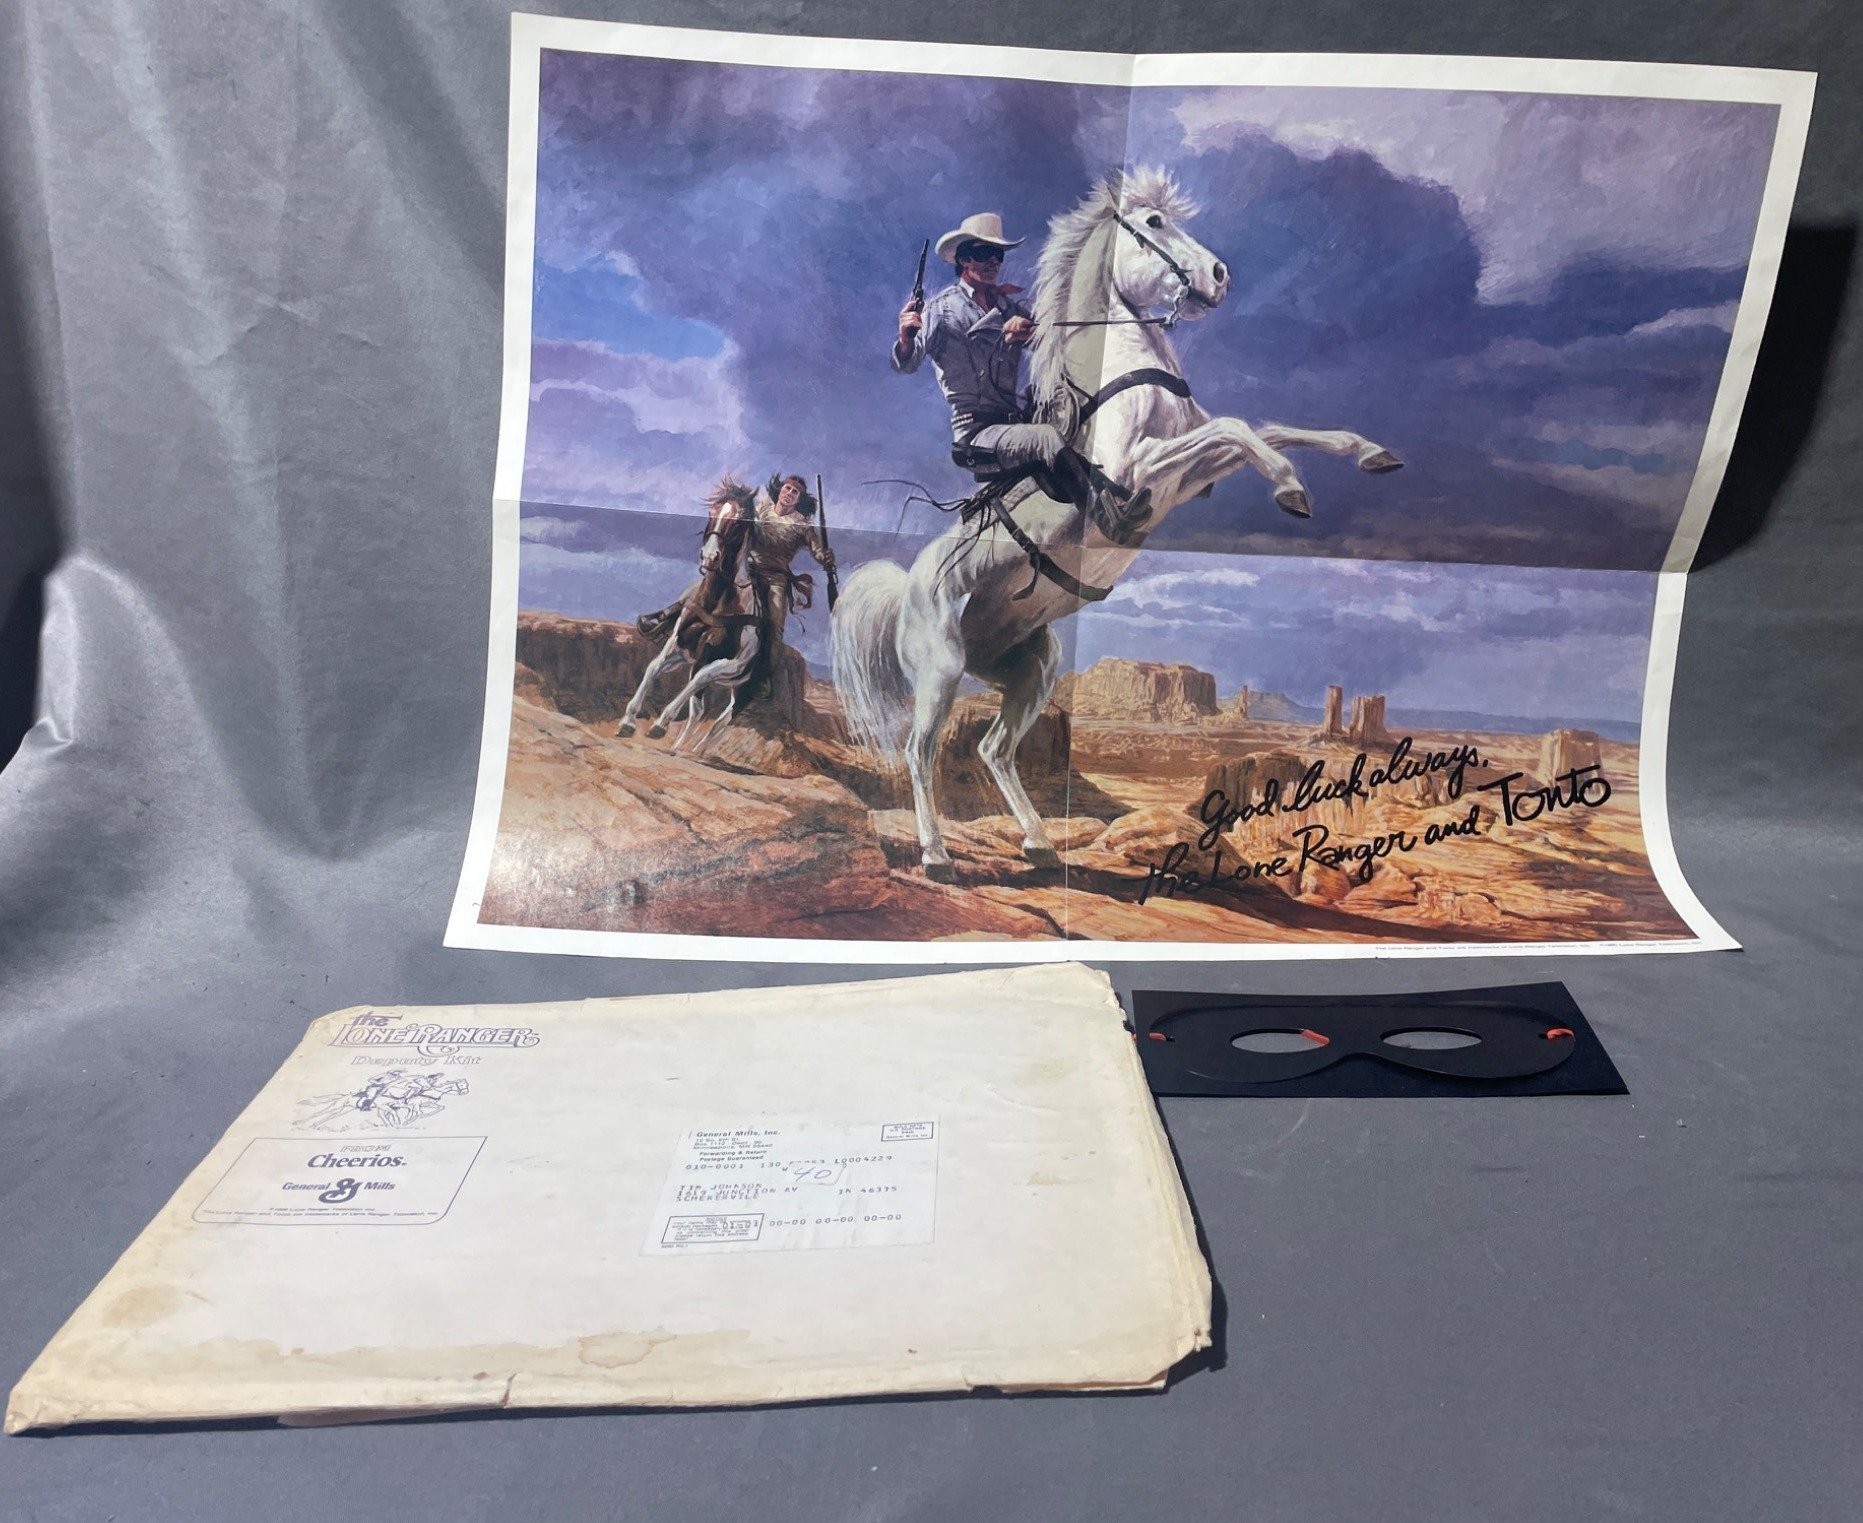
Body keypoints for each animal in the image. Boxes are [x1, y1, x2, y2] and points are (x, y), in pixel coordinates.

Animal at [617, 477, 767, 755]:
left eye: (739, 522)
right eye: (712, 513)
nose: (709, 556)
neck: (718, 603)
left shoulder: (732, 664)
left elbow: (701, 677)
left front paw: (661, 723)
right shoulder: (682, 648)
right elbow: (654, 667)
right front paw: (628, 721)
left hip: (741, 690)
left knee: (720, 723)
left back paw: (696, 751)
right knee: (698, 713)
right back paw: (678, 748)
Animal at [831, 166, 1403, 882]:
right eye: (1154, 224)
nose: (1219, 275)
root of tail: (906, 587)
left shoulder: (1188, 472)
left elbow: (1270, 427)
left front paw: (1370, 452)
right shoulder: (1140, 473)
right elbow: (1240, 427)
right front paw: (1290, 488)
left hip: (1030, 670)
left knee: (994, 749)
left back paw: (1040, 845)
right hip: (941, 669)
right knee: (920, 749)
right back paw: (937, 855)